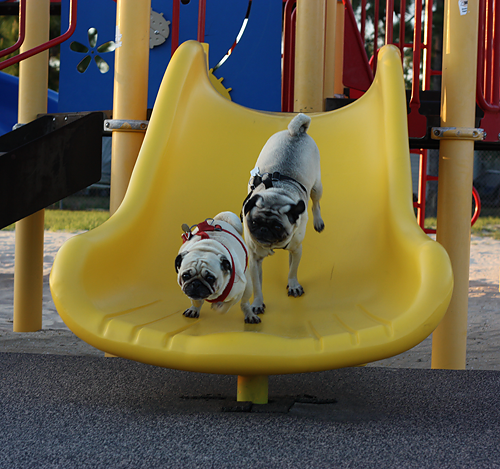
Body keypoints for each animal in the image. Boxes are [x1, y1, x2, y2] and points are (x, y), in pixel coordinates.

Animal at [241, 111, 324, 312]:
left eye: (278, 227)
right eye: (253, 222)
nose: (264, 229)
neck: (277, 192)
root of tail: (296, 132)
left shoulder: (297, 249)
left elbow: (293, 270)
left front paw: (293, 285)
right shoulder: (254, 260)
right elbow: (257, 285)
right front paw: (257, 303)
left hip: (317, 186)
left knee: (316, 203)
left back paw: (318, 221)